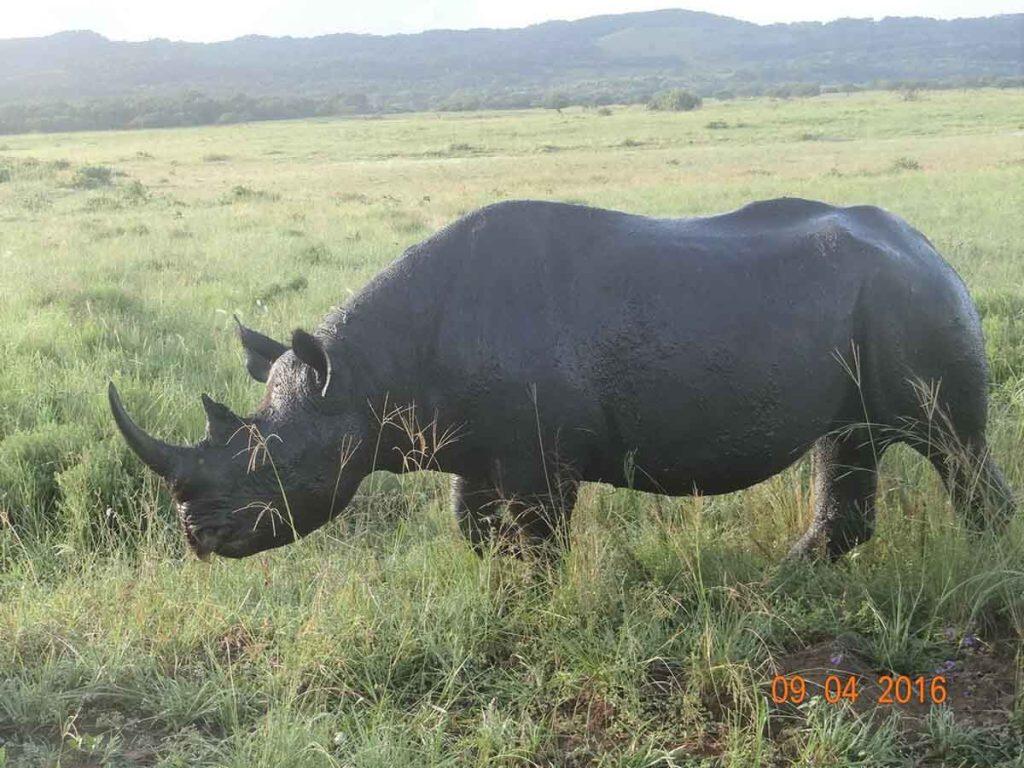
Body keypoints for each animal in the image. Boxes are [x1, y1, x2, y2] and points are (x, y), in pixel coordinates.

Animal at [109, 198, 1015, 561]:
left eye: (273, 464)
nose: (196, 538)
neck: (362, 377)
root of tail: (930, 246)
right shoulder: (475, 439)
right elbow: (475, 525)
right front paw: (497, 584)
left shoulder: (538, 454)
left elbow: (538, 534)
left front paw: (532, 599)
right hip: (873, 307)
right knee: (846, 441)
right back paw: (786, 575)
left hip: (913, 301)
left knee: (951, 442)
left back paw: (983, 565)